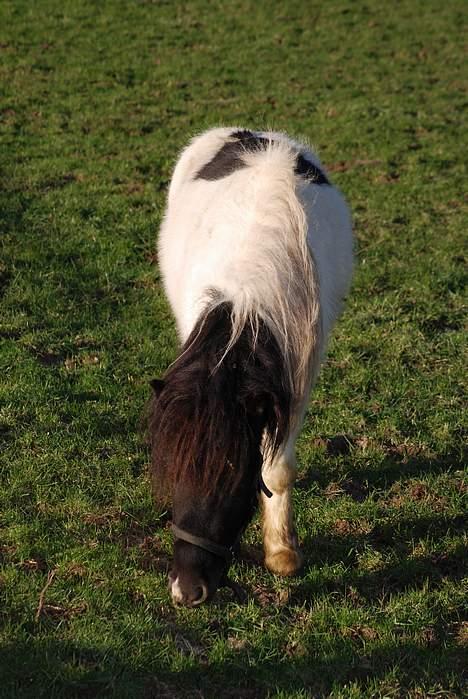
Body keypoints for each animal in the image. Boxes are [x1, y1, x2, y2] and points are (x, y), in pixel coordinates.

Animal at [148, 127, 352, 608]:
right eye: (174, 474)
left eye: (231, 477)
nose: (187, 590)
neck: (245, 306)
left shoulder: (297, 376)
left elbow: (276, 467)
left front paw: (281, 553)